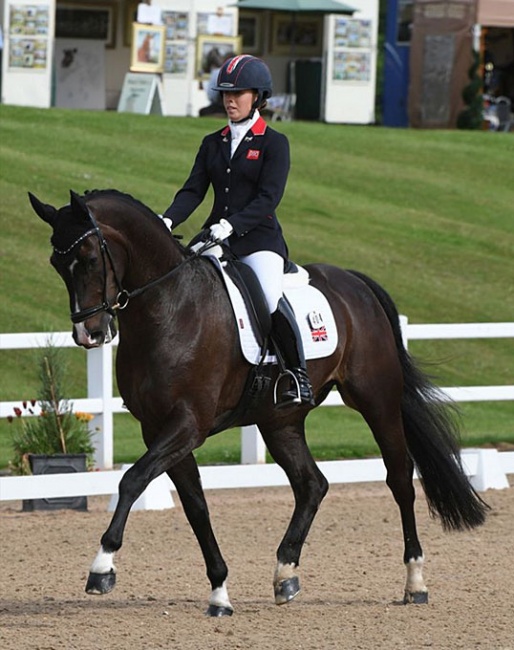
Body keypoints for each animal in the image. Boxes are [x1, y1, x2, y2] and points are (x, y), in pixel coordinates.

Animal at [30, 190, 486, 616]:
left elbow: (132, 480)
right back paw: (285, 575)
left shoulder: (188, 424)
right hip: (279, 420)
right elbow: (195, 506)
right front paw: (219, 593)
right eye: (55, 263)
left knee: (399, 479)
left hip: (377, 401)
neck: (169, 308)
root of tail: (355, 283)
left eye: (90, 257)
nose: (89, 333)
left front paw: (102, 567)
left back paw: (415, 582)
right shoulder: (158, 428)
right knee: (312, 484)